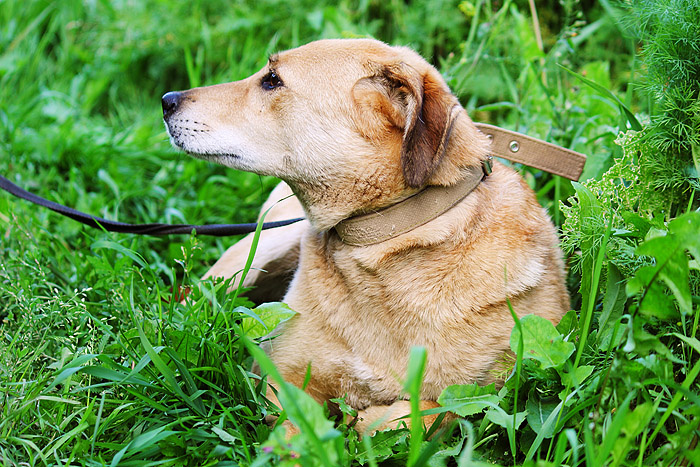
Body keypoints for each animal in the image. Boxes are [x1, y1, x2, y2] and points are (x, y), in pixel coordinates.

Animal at [162, 38, 569, 433]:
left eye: (272, 80)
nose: (166, 100)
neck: (384, 244)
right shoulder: (280, 376)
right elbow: (297, 432)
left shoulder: (495, 392)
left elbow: (426, 413)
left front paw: (365, 419)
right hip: (253, 258)